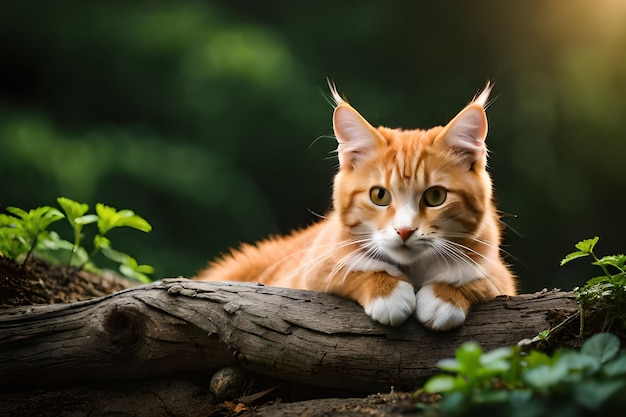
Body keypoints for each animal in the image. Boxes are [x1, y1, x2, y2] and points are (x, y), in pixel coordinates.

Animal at [194, 80, 512, 328]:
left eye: (435, 197)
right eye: (379, 195)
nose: (405, 231)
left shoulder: (499, 270)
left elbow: (482, 278)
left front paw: (445, 296)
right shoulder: (311, 267)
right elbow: (348, 268)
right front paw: (387, 291)